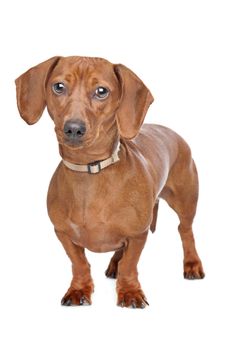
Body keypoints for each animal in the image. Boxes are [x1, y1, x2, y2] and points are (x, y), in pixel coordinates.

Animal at [15, 56, 204, 308]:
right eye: (58, 86)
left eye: (101, 91)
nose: (73, 128)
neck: (90, 169)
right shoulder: (63, 233)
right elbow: (80, 264)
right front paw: (79, 289)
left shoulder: (138, 234)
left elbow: (130, 265)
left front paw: (130, 292)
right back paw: (114, 264)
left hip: (185, 201)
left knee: (185, 231)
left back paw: (192, 264)